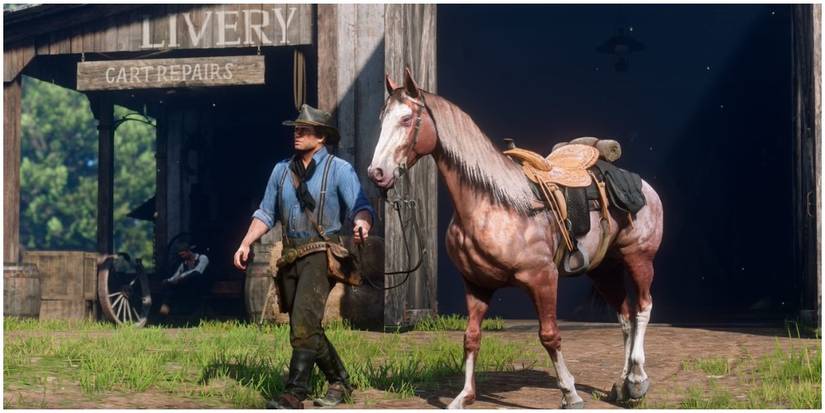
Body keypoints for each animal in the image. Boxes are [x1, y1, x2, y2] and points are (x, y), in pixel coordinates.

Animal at [367, 68, 664, 409]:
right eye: (382, 118)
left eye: (406, 119)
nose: (377, 172)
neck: (494, 204)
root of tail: (643, 186)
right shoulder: (476, 284)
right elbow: (471, 337)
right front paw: (464, 396)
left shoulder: (543, 278)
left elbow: (549, 335)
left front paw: (570, 393)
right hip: (604, 269)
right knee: (625, 317)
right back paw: (622, 386)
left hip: (638, 258)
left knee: (642, 309)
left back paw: (638, 380)